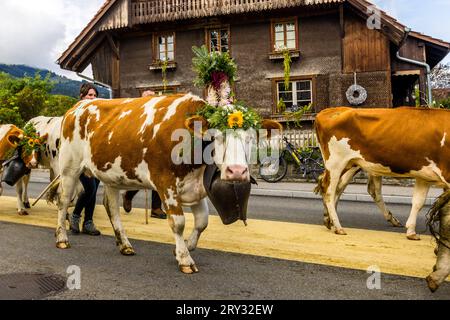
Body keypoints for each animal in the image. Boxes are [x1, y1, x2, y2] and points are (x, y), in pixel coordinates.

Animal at [57, 92, 282, 272]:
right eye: (217, 137)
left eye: (251, 138)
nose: (237, 171)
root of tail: (77, 106)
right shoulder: (166, 184)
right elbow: (178, 222)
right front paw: (184, 259)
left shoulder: (195, 186)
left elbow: (202, 221)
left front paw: (185, 248)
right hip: (69, 168)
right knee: (63, 201)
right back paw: (62, 239)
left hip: (112, 175)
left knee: (111, 207)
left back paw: (125, 245)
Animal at [314, 107, 450, 240]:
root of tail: (330, 111)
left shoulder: (423, 177)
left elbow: (418, 202)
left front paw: (411, 232)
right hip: (336, 163)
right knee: (329, 190)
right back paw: (338, 226)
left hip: (351, 163)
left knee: (341, 187)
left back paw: (329, 220)